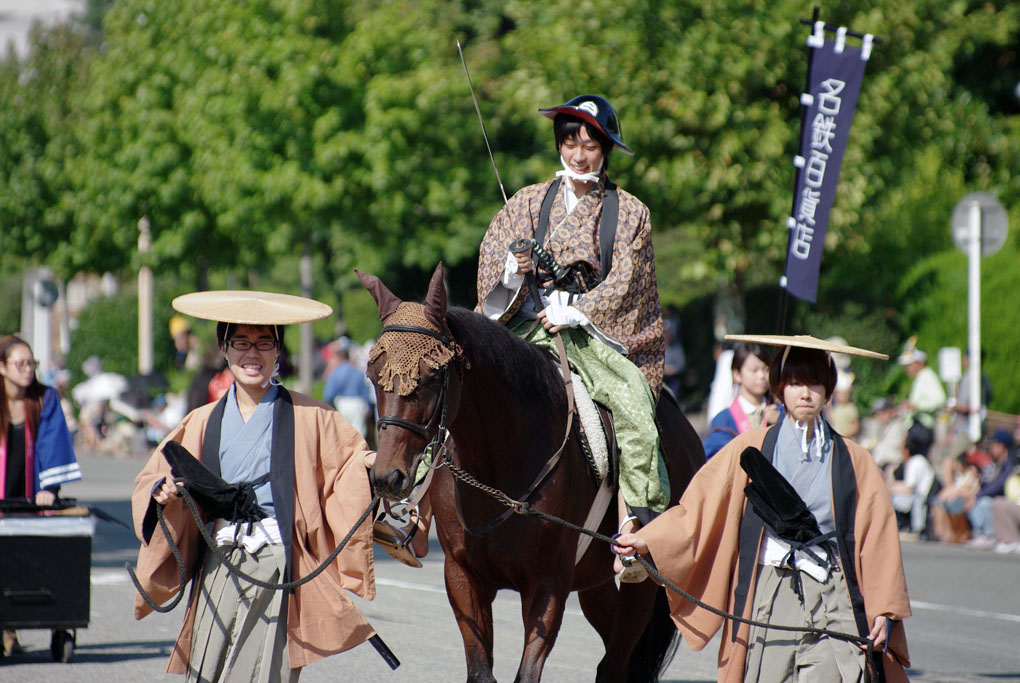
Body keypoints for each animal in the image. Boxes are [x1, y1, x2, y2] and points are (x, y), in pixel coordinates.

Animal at [359, 267, 701, 683]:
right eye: (373, 375)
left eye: (431, 377)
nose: (386, 478)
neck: (497, 471)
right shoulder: (462, 576)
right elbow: (480, 672)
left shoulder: (547, 585)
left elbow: (527, 672)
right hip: (595, 586)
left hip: (641, 586)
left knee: (617, 661)